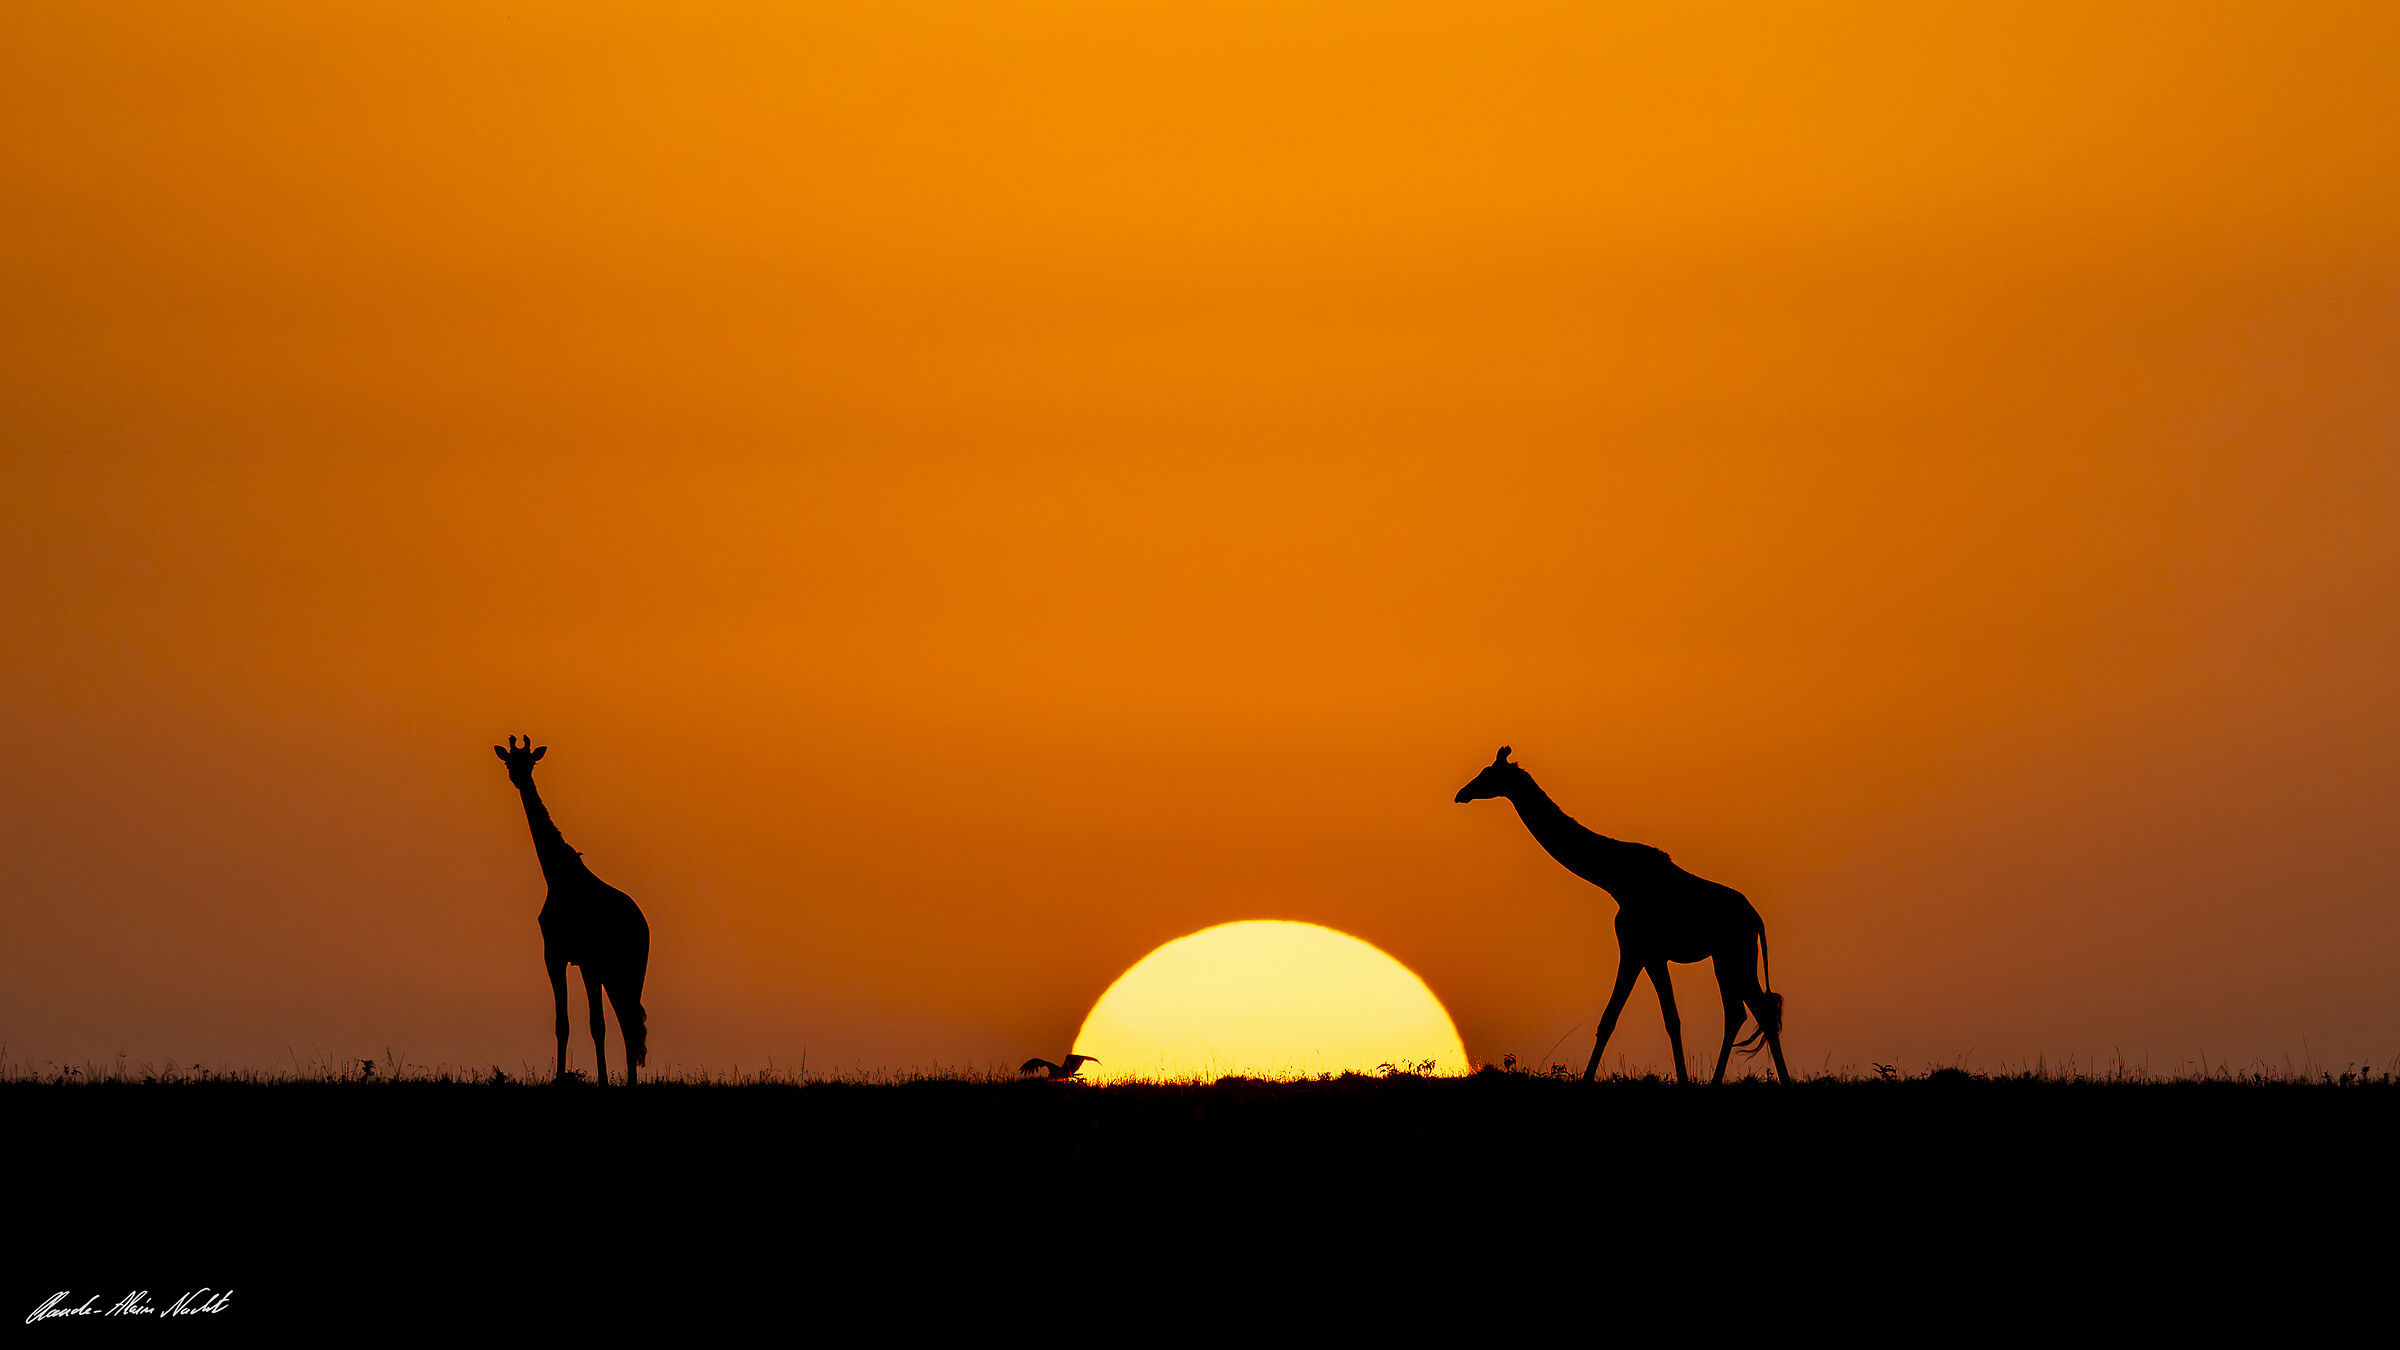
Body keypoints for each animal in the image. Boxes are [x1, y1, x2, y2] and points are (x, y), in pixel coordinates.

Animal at [495, 736, 650, 1085]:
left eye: (531, 762)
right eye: (510, 760)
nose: (519, 778)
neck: (557, 875)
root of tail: (643, 925)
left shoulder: (577, 958)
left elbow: (590, 1024)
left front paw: (597, 1080)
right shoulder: (562, 957)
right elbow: (566, 1023)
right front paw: (565, 1077)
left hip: (627, 967)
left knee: (627, 1020)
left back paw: (631, 1082)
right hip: (617, 970)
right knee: (628, 1019)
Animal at [1455, 747, 1789, 1085]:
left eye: (1488, 773)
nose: (1462, 794)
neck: (1615, 879)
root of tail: (1756, 919)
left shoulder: (1641, 950)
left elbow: (1654, 1019)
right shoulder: (1643, 953)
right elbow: (1626, 1019)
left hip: (1735, 954)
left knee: (1756, 1010)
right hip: (1725, 957)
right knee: (1741, 1011)